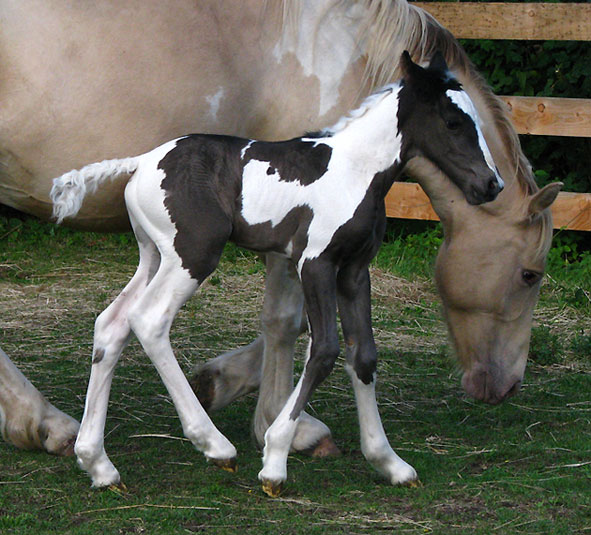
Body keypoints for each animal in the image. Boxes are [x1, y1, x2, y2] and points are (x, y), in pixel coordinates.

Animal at [52, 51, 504, 498]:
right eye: (453, 122)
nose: (491, 185)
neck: (355, 170)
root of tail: (142, 162)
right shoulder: (315, 263)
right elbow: (324, 351)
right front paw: (274, 460)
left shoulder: (355, 270)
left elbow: (363, 355)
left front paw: (389, 462)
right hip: (192, 256)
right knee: (148, 320)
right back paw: (214, 445)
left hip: (154, 256)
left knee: (112, 324)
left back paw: (98, 464)